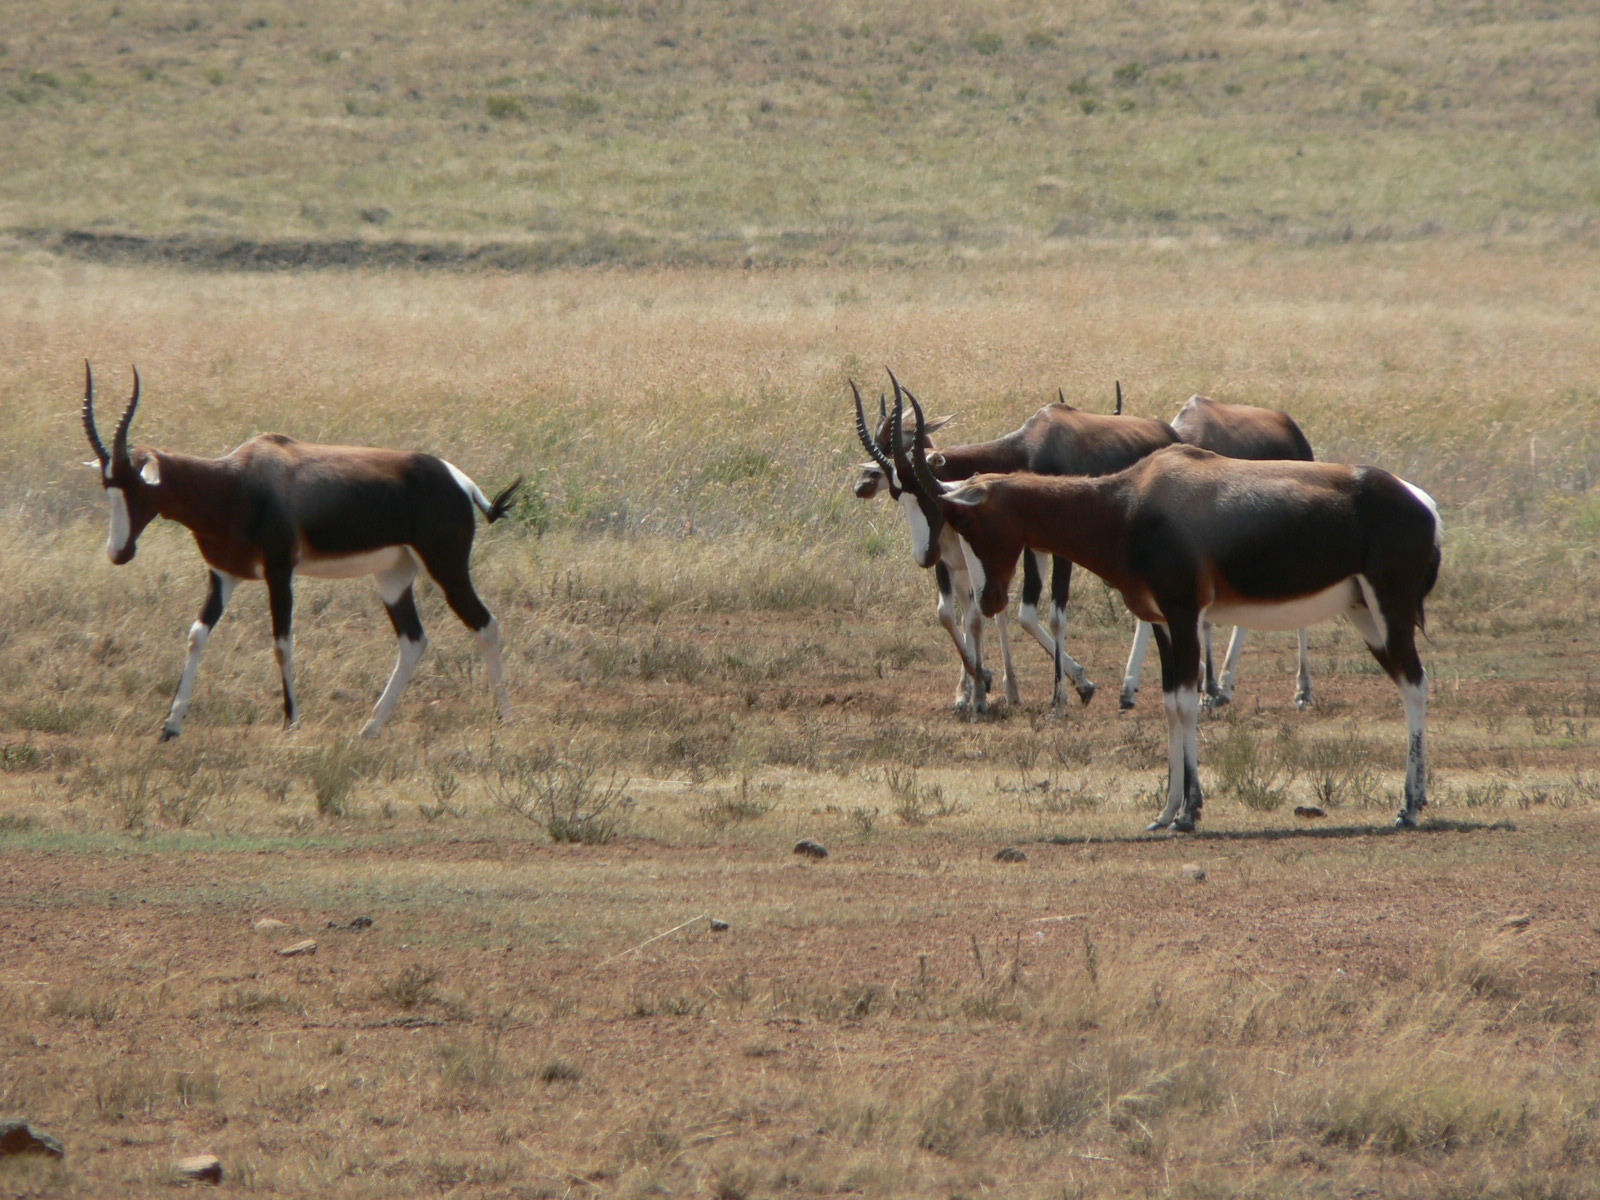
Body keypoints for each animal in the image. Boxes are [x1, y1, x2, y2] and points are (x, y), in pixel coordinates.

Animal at [81, 366, 518, 742]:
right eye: (106, 485)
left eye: (137, 486)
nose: (119, 552)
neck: (235, 482)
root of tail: (457, 479)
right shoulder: (223, 575)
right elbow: (196, 635)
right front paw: (170, 726)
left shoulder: (279, 572)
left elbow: (281, 643)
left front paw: (291, 722)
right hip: (393, 578)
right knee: (414, 641)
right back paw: (369, 728)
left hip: (447, 567)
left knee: (487, 625)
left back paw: (503, 718)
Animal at [896, 400, 1446, 832]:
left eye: (966, 519)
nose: (988, 599)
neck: (1132, 500)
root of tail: (1423, 503)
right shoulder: (1161, 621)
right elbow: (1168, 704)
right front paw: (1171, 811)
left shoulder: (1184, 615)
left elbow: (1185, 702)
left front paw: (1184, 814)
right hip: (1365, 616)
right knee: (1407, 683)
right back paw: (1412, 800)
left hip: (1390, 609)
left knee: (1417, 684)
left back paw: (1408, 809)